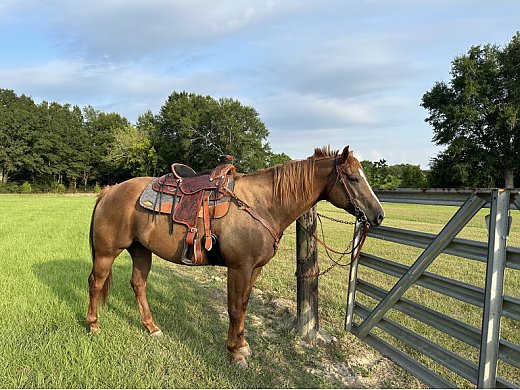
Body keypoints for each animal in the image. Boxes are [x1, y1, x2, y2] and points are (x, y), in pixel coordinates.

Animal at [87, 145, 384, 368]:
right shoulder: (239, 267)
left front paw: (242, 345)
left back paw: (151, 327)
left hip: (140, 250)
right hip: (106, 253)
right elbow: (234, 308)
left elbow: (243, 305)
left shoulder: (254, 269)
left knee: (138, 284)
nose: (378, 215)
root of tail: (110, 190)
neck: (262, 204)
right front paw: (235, 353)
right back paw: (93, 325)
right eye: (354, 178)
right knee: (95, 283)